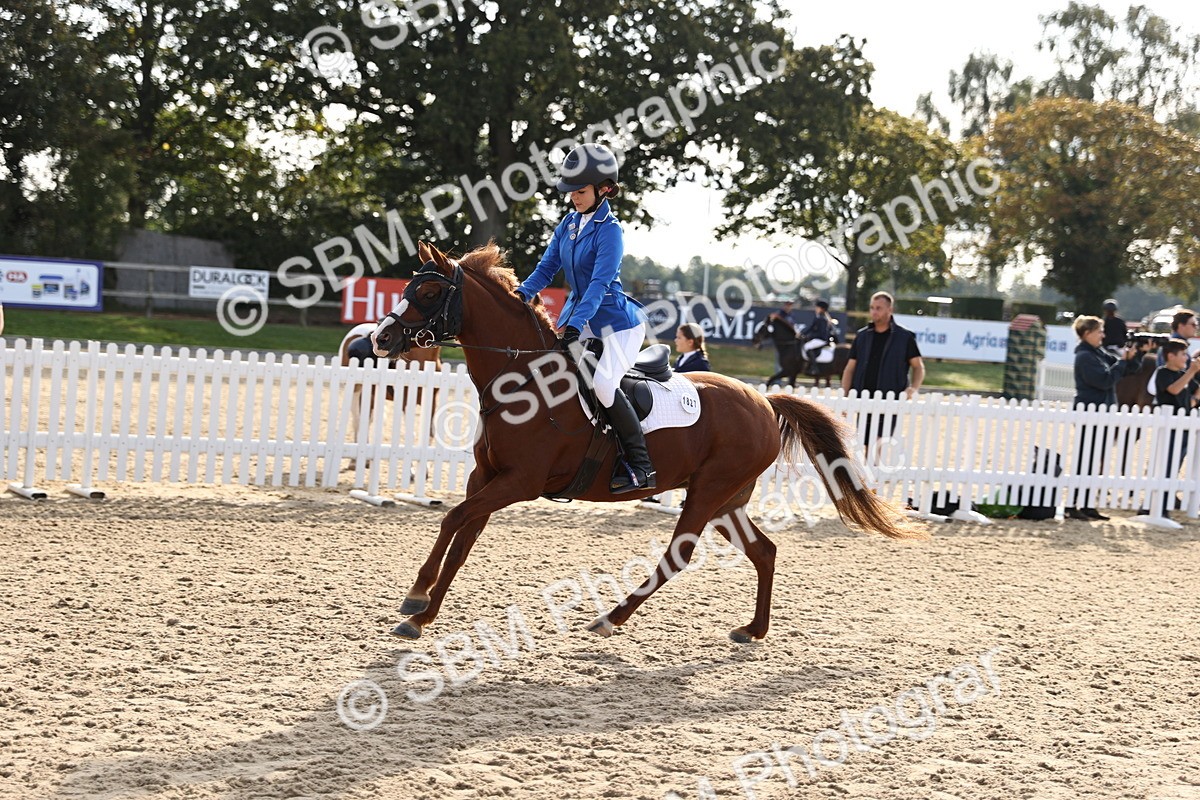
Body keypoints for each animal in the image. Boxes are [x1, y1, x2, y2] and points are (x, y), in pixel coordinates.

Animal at [370, 242, 926, 643]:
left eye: (428, 294)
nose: (380, 340)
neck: (524, 381)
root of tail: (764, 401)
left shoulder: (519, 482)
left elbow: (453, 519)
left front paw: (416, 597)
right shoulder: (486, 477)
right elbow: (461, 537)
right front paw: (422, 612)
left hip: (708, 492)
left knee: (679, 555)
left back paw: (609, 619)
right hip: (726, 500)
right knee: (764, 551)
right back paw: (753, 630)